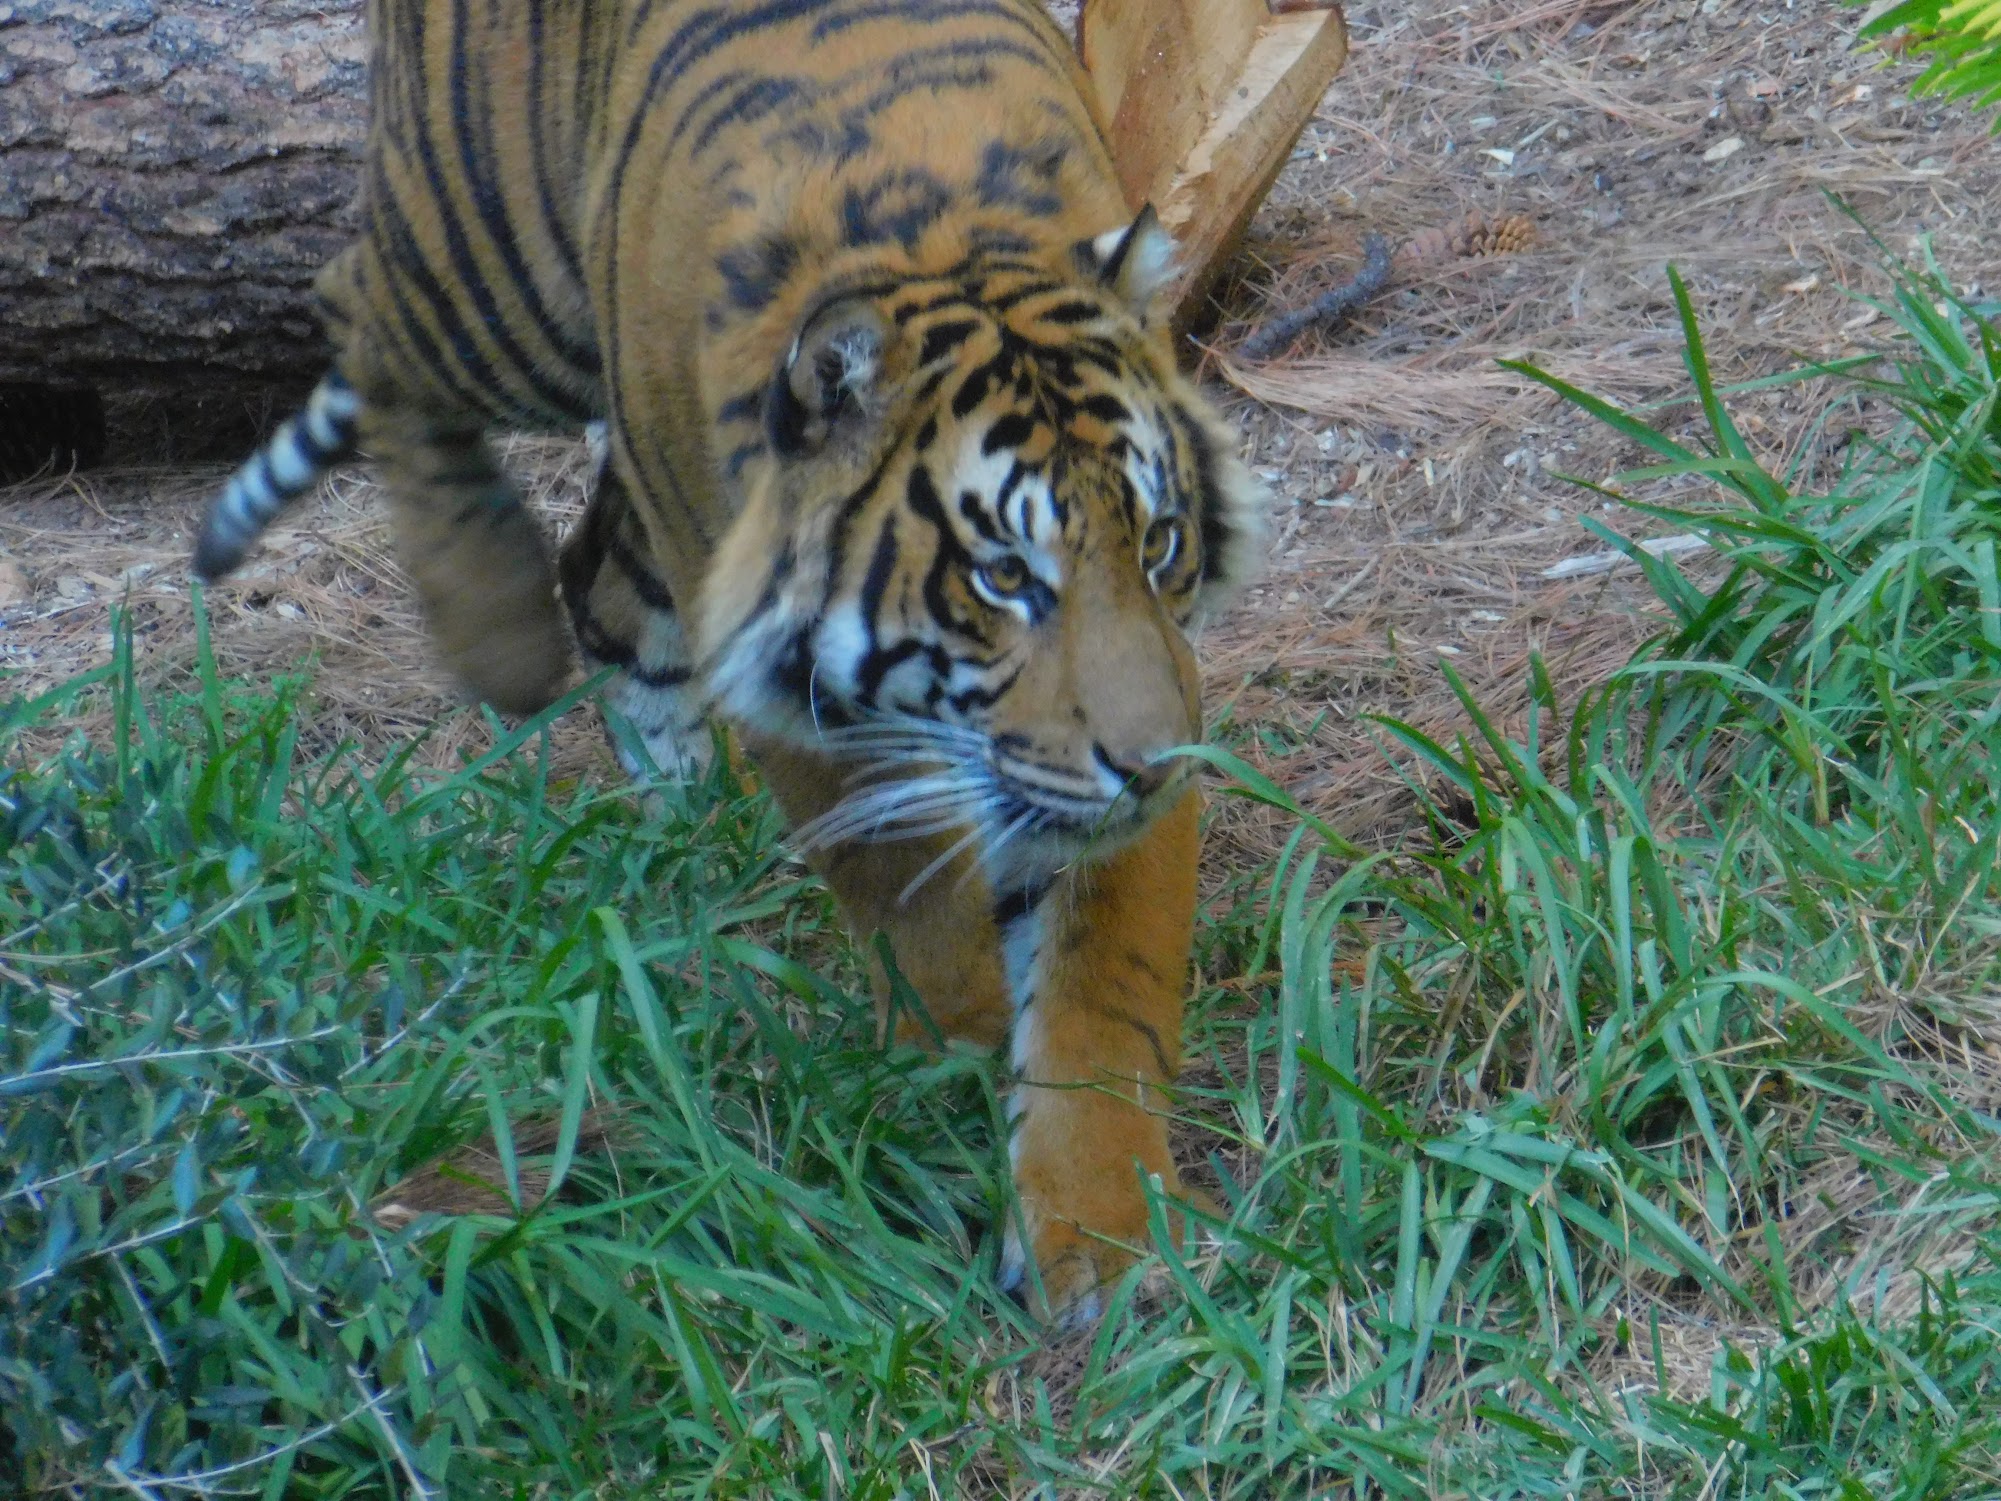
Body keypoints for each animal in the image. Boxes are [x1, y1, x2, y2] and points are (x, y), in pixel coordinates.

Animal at [194, 0, 1263, 1323]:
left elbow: (1106, 982)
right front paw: (951, 1062)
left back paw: (682, 807)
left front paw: (1105, 1241)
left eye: (1158, 542)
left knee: (598, 571)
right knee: (358, 303)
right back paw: (496, 623)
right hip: (488, 284)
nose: (1150, 765)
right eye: (1007, 576)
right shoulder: (824, 720)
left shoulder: (1153, 698)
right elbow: (909, 898)